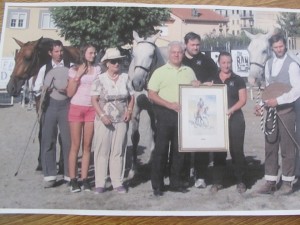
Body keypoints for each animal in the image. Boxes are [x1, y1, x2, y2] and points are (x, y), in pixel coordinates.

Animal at [127, 30, 169, 178]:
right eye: (134, 54)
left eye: (151, 55)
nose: (137, 83)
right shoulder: (135, 110)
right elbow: (135, 137)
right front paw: (133, 169)